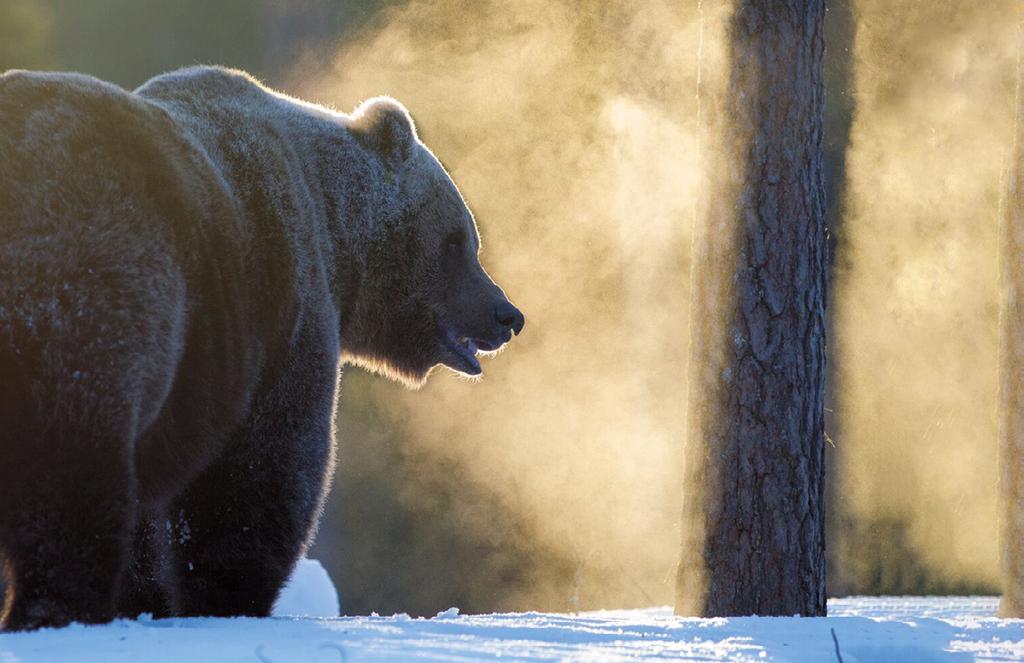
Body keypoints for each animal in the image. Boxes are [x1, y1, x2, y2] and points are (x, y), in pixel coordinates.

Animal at [0, 67, 524, 631]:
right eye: (458, 240)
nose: (507, 315)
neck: (335, 232)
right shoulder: (280, 303)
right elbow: (266, 466)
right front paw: (227, 599)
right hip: (95, 284)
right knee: (72, 472)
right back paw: (54, 607)